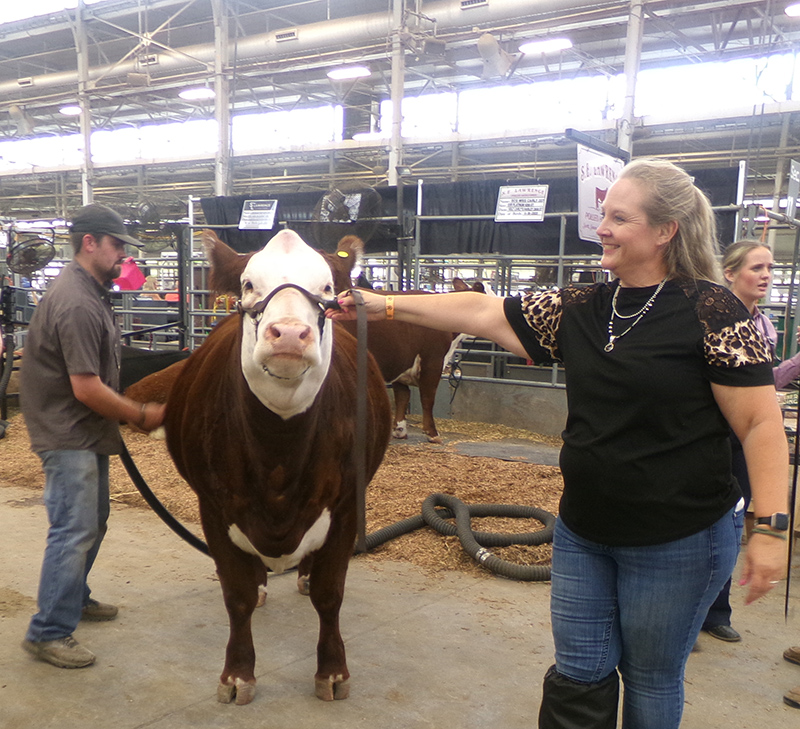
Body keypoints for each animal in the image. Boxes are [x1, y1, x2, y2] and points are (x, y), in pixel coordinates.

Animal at [162, 229, 390, 704]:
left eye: (327, 288)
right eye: (249, 284)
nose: (287, 334)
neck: (279, 456)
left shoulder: (346, 506)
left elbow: (329, 593)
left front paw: (332, 672)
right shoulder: (214, 508)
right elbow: (237, 595)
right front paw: (237, 675)